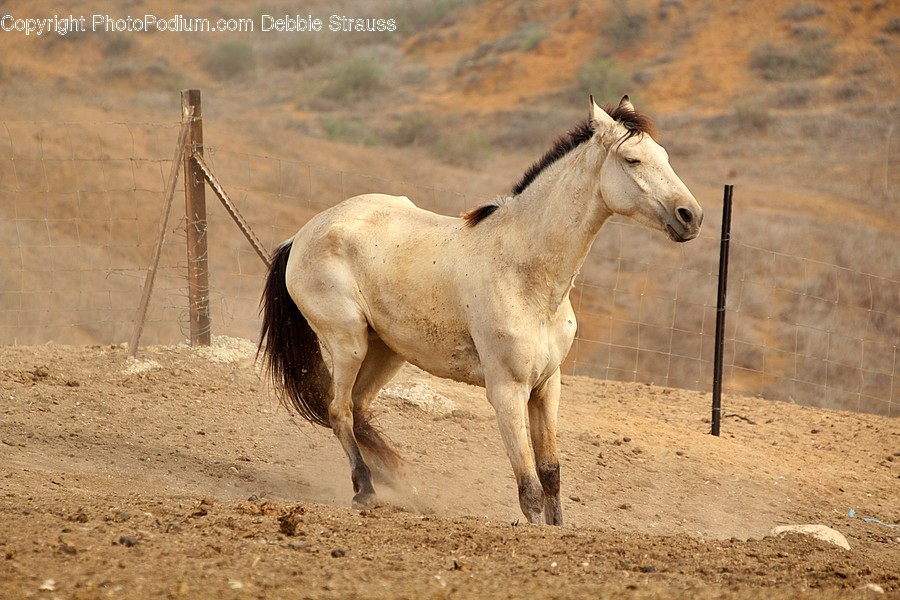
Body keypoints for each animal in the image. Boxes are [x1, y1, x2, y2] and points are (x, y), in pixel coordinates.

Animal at [258, 95, 703, 525]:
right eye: (632, 160)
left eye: (664, 155)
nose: (691, 216)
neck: (526, 274)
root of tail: (301, 236)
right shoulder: (507, 390)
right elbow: (529, 487)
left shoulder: (547, 386)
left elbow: (551, 474)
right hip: (347, 342)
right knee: (339, 411)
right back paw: (365, 490)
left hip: (386, 351)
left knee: (359, 409)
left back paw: (402, 484)